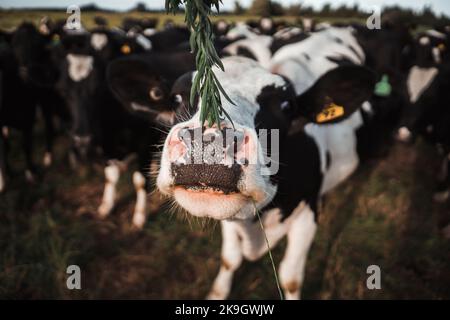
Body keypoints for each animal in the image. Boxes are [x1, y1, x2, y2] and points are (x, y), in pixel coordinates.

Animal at [156, 56, 374, 298]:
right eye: (177, 98)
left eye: (286, 106)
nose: (209, 140)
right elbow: (229, 259)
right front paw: (217, 293)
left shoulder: (307, 213)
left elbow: (290, 278)